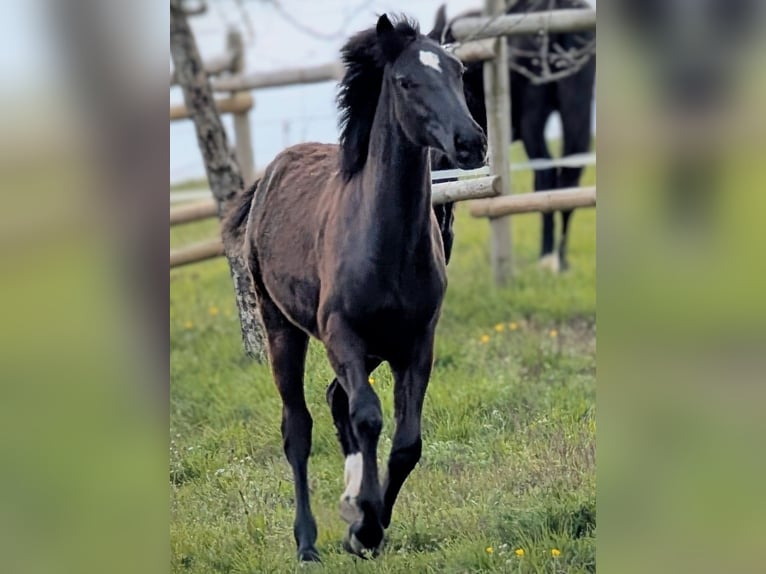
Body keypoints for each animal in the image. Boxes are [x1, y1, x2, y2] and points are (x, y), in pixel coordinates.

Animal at [223, 14, 486, 561]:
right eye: (406, 81)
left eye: (457, 70)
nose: (470, 142)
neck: (385, 243)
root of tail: (269, 175)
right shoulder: (341, 333)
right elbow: (368, 417)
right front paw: (362, 526)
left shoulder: (416, 343)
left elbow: (406, 443)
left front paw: (370, 523)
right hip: (283, 328)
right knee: (298, 426)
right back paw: (307, 543)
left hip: (370, 350)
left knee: (333, 400)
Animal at [429, 0, 596, 272]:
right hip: (576, 106)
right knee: (569, 176)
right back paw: (560, 261)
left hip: (533, 120)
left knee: (546, 174)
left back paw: (546, 259)